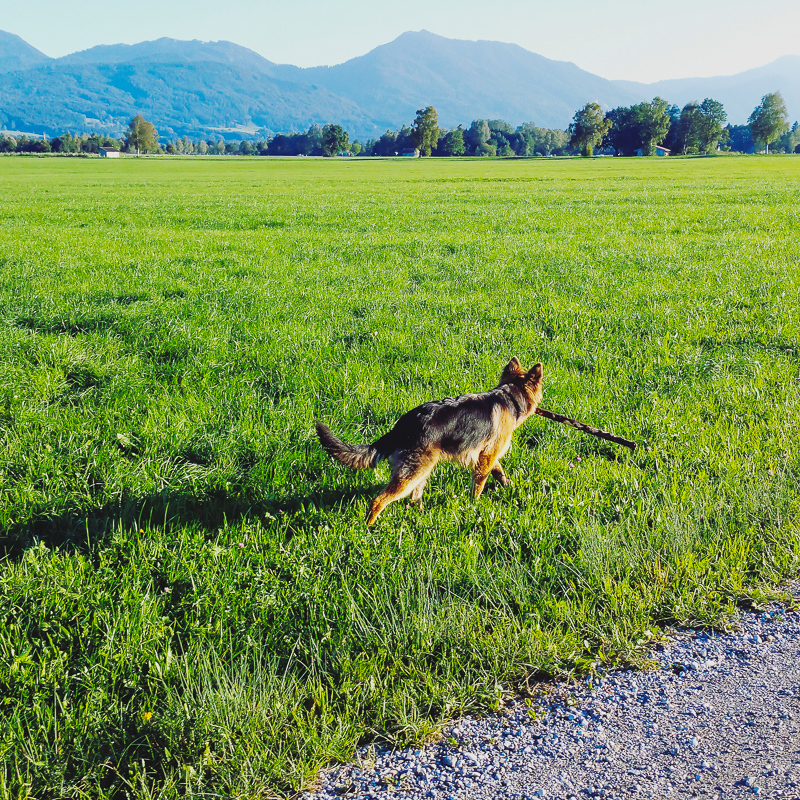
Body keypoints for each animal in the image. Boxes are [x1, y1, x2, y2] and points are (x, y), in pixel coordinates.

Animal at [314, 358, 544, 524]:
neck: (510, 396)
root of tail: (403, 424)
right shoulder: (487, 456)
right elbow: (479, 484)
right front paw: (474, 504)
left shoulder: (486, 455)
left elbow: (498, 470)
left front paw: (506, 485)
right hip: (412, 473)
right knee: (379, 500)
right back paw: (368, 527)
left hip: (422, 470)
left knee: (415, 497)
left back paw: (421, 516)